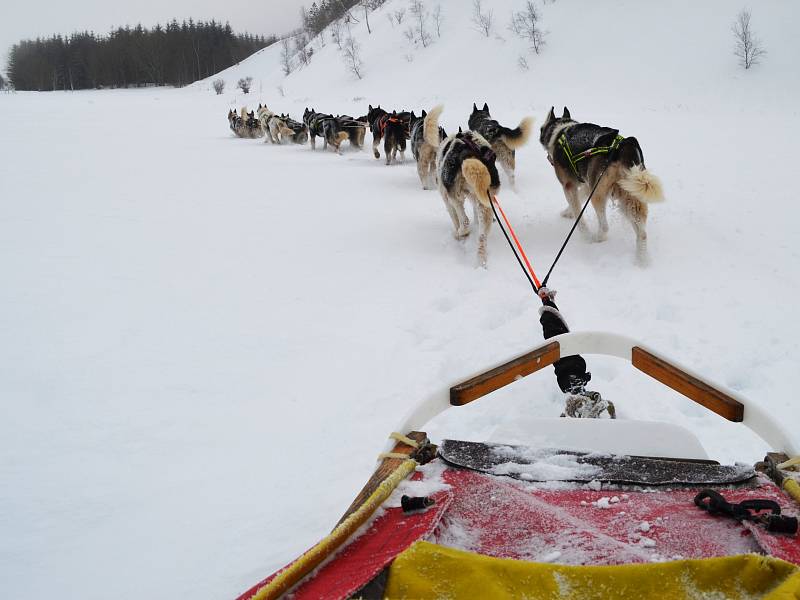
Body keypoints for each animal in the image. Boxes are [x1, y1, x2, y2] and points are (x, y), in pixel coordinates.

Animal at [432, 108, 500, 268]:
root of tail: (470, 153)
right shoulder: (476, 197)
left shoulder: (447, 199)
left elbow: (455, 218)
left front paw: (460, 235)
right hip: (485, 202)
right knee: (482, 236)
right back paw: (481, 262)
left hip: (454, 197)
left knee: (465, 221)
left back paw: (460, 233)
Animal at [540, 106, 664, 264]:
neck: (560, 130)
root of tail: (624, 146)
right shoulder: (586, 185)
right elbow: (580, 197)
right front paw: (567, 212)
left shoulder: (570, 186)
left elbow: (578, 212)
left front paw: (584, 233)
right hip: (631, 196)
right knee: (642, 234)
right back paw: (641, 261)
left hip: (598, 194)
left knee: (605, 227)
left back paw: (596, 238)